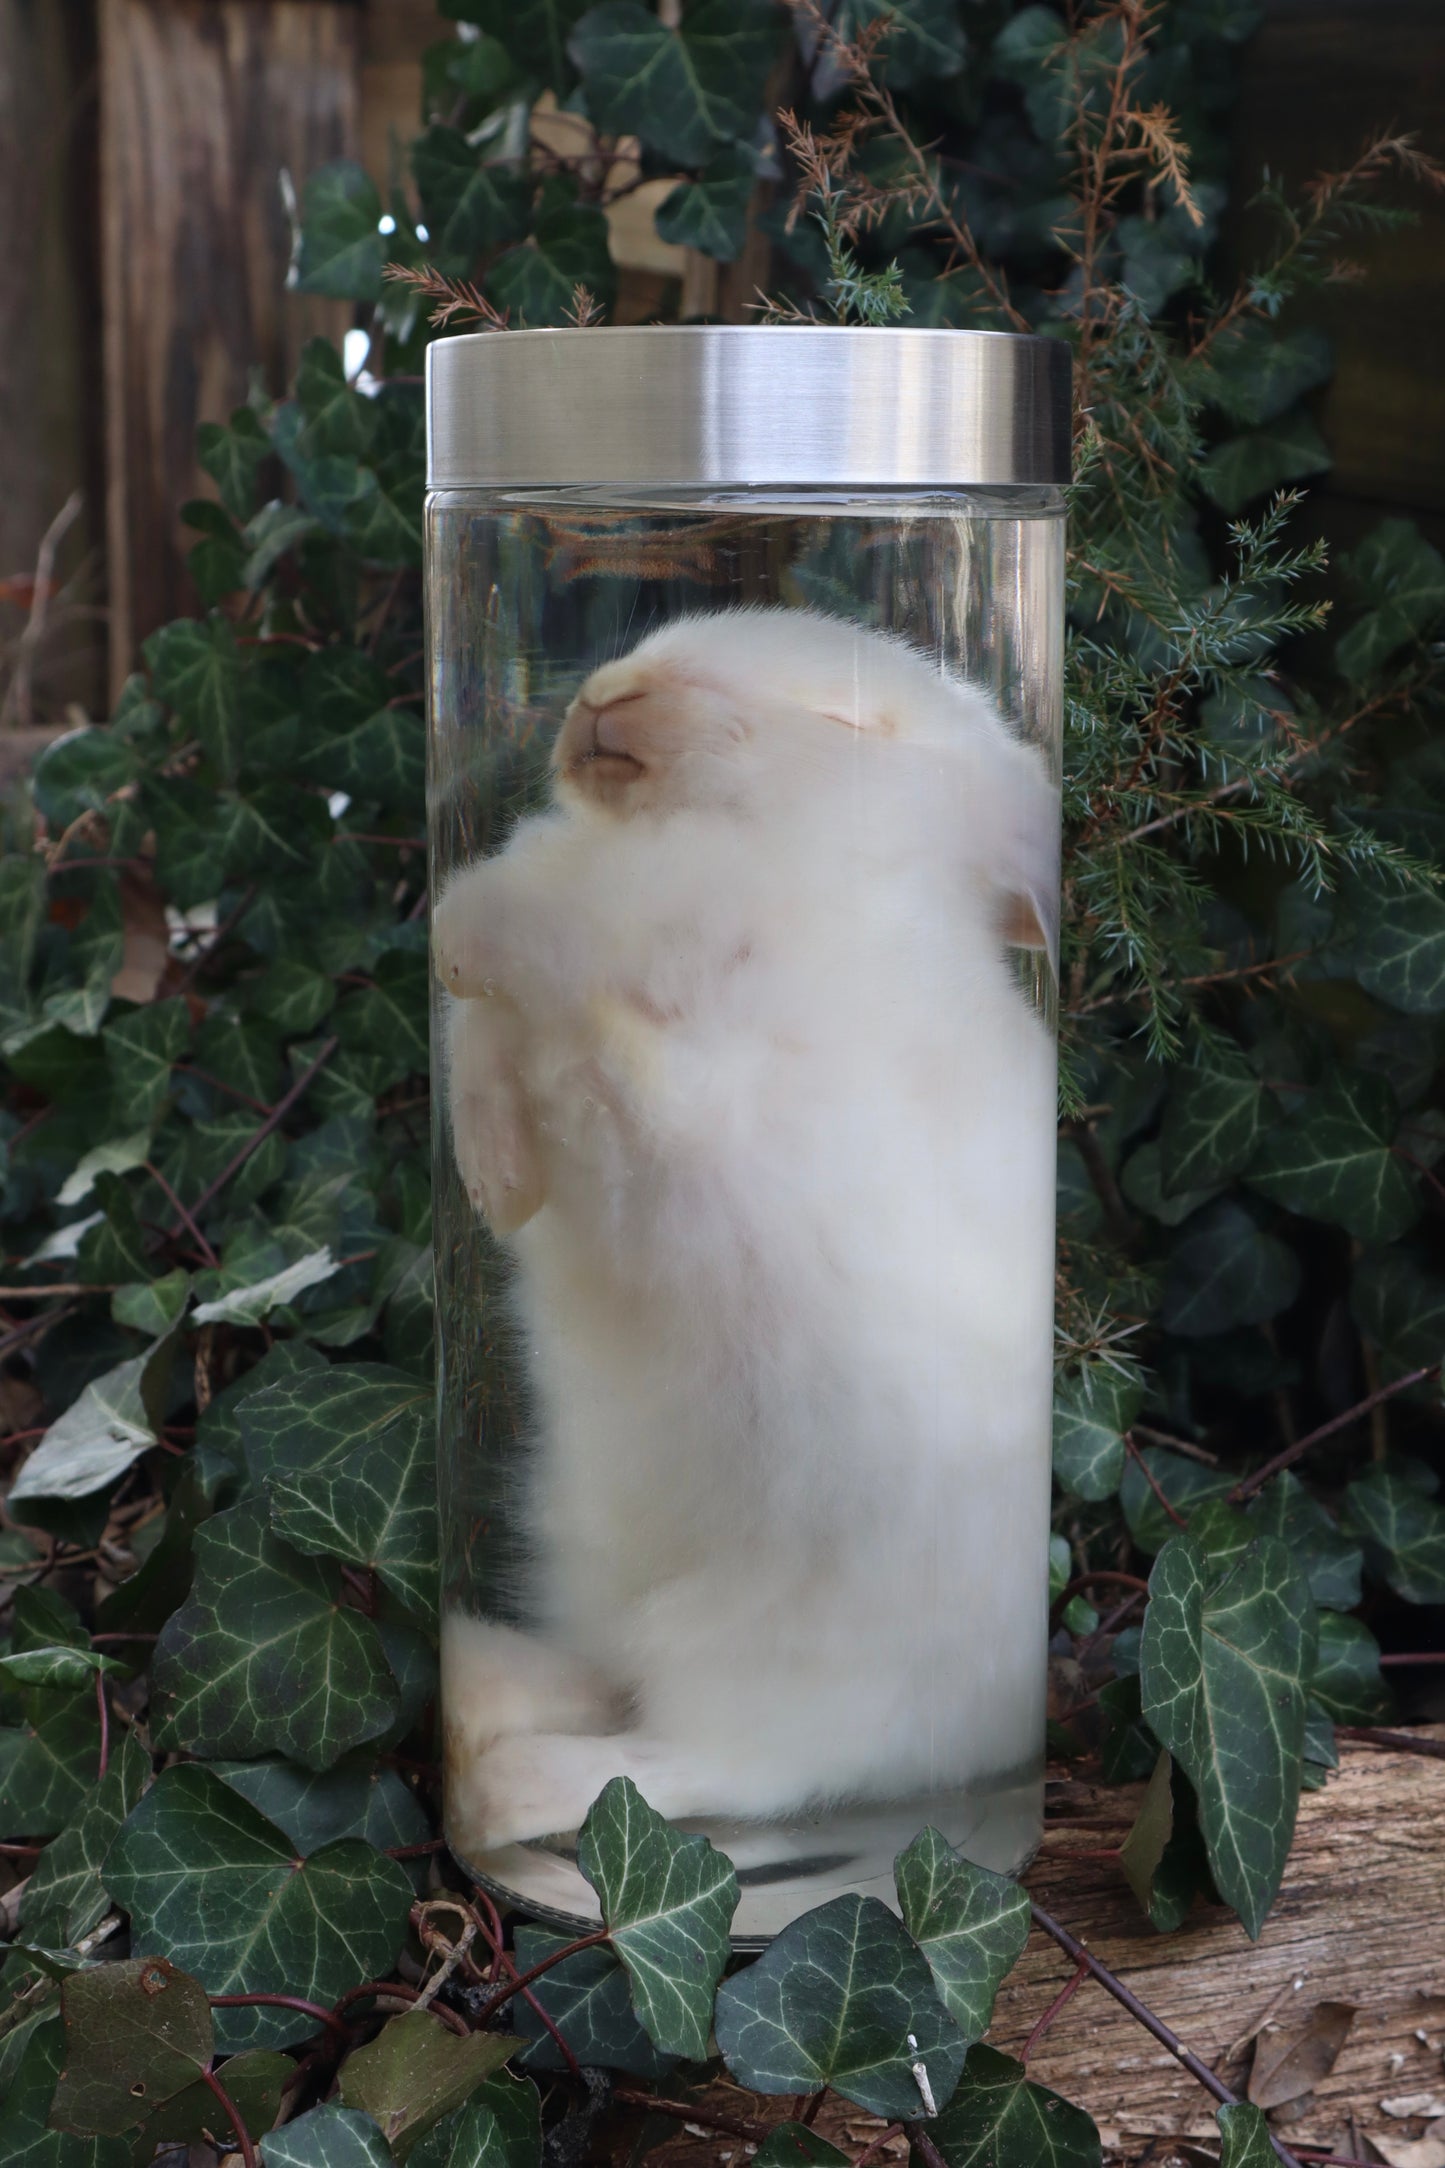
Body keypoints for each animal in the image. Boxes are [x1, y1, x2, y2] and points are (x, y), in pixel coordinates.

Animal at [433, 606, 1060, 1858]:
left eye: (847, 717)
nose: (605, 694)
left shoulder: (687, 1050)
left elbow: (570, 994)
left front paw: (478, 950)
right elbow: (486, 1039)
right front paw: (497, 1184)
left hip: (765, 1661)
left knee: (691, 1766)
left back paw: (501, 1781)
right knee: (611, 1685)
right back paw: (488, 1688)